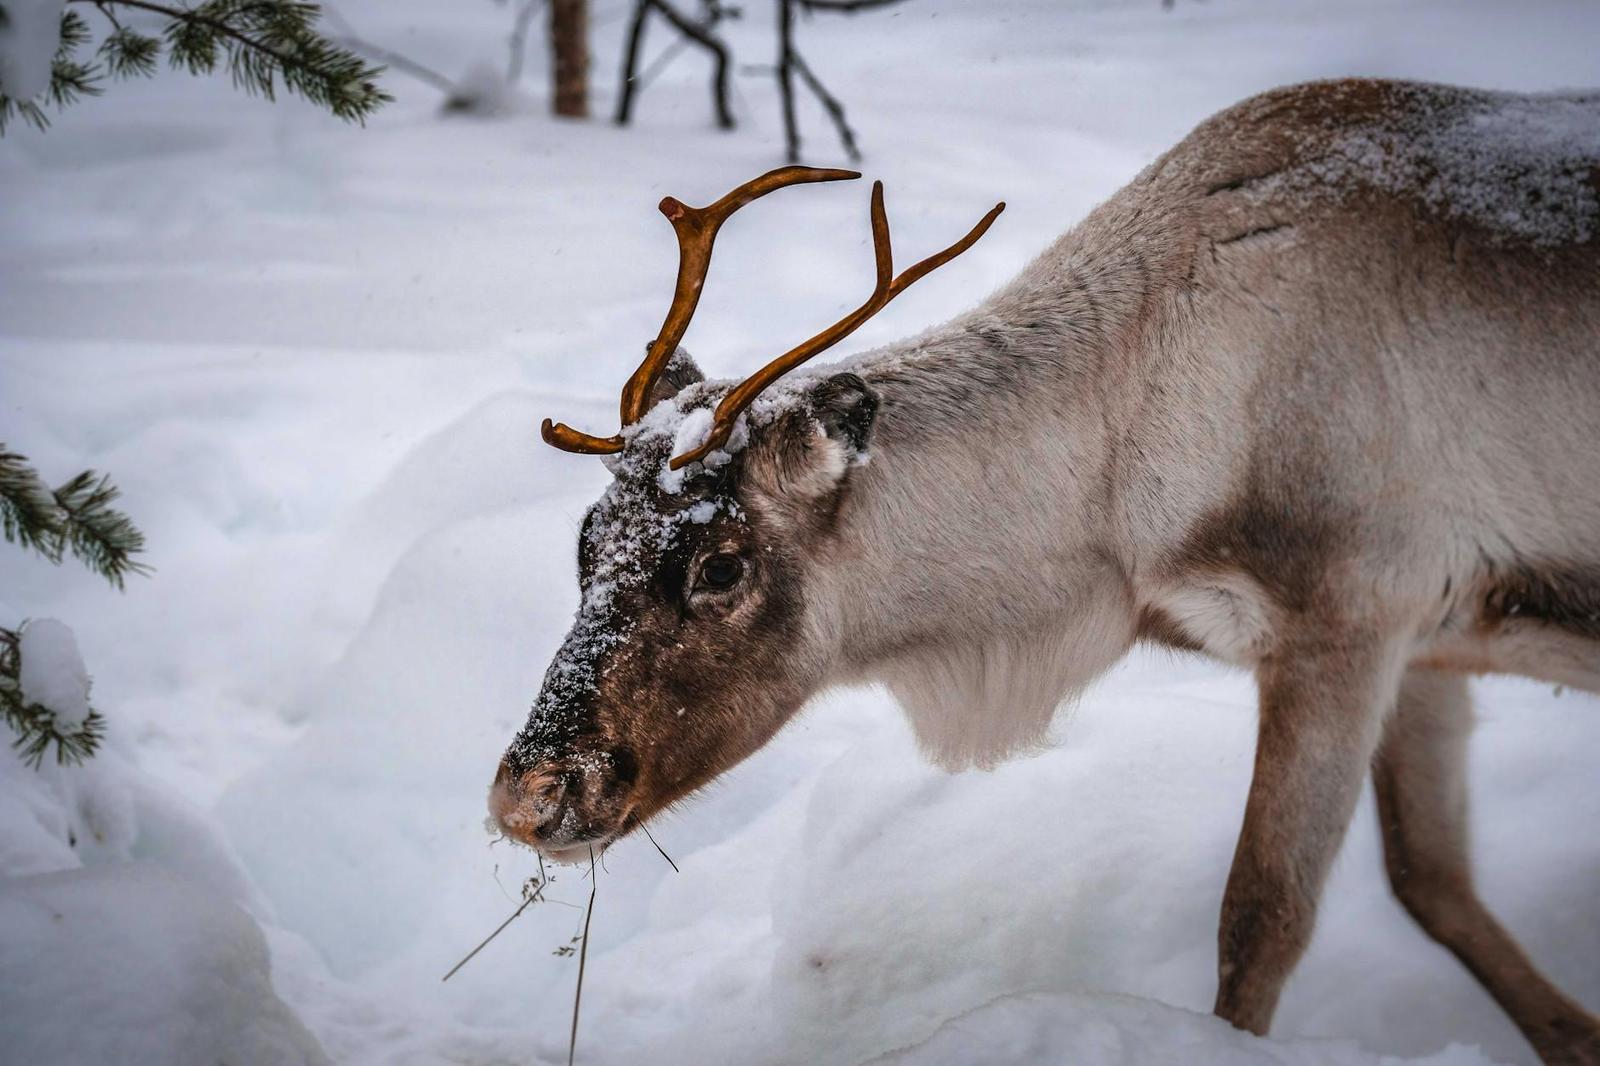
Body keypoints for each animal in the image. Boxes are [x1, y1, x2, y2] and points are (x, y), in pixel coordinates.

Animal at [488, 78, 1600, 1062]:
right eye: (585, 541)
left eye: (720, 565)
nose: (527, 796)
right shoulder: (1432, 642)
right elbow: (1433, 883)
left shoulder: (1343, 618)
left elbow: (1261, 920)